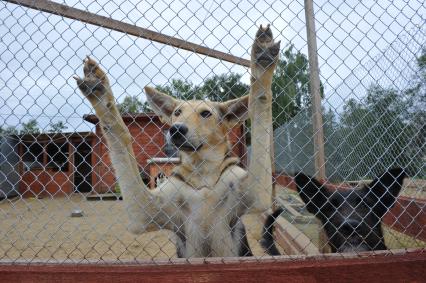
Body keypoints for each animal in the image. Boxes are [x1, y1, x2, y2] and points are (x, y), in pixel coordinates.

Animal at [73, 25, 280, 260]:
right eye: (177, 113)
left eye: (205, 113)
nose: (176, 129)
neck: (201, 173)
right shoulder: (142, 213)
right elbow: (119, 131)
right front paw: (99, 90)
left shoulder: (257, 194)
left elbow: (260, 99)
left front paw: (262, 60)